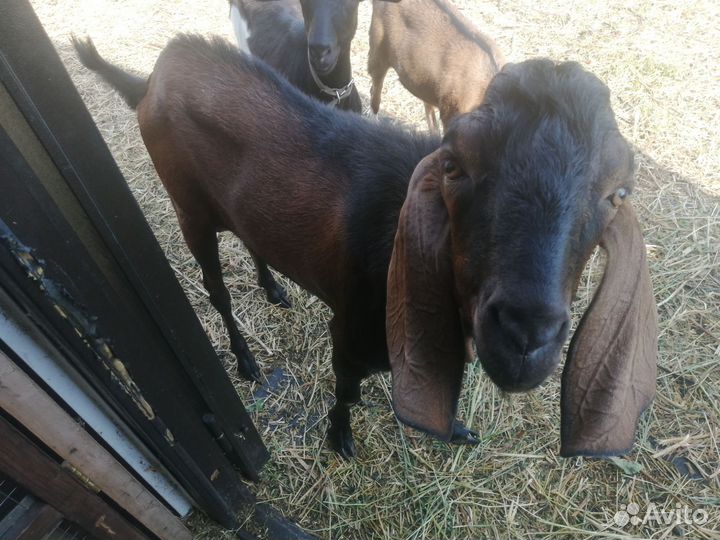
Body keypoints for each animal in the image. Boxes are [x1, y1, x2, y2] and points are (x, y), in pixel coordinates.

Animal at [73, 34, 657, 459]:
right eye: (454, 165)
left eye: (618, 193)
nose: (525, 335)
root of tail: (154, 75)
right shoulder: (350, 329)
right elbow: (348, 388)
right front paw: (339, 438)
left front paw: (458, 429)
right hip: (188, 208)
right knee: (215, 291)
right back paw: (244, 361)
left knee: (251, 237)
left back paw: (273, 288)